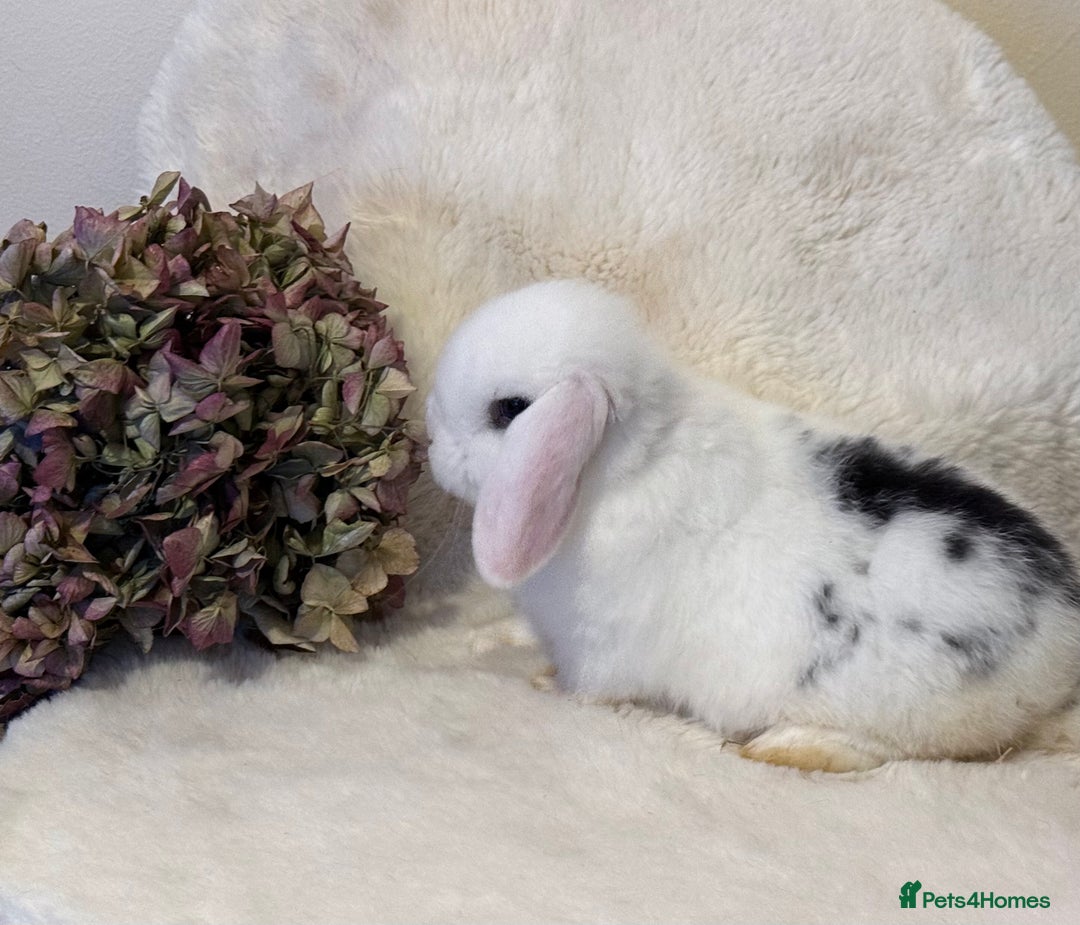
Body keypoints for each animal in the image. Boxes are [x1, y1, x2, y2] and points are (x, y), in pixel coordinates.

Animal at [425, 279, 1080, 772]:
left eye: (509, 411)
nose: (432, 445)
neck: (623, 464)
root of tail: (1062, 652)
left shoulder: (599, 647)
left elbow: (586, 688)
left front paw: (543, 685)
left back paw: (783, 748)